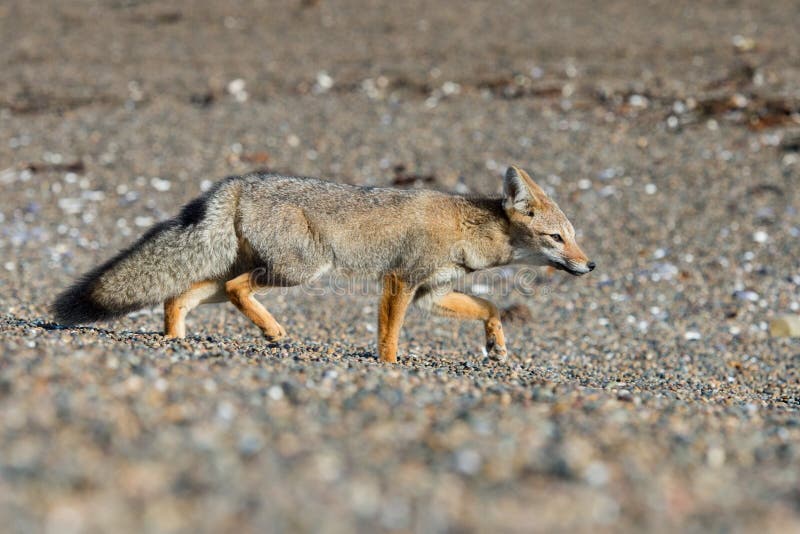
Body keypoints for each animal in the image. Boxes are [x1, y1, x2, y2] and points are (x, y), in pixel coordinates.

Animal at [52, 165, 594, 363]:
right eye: (556, 238)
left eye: (575, 238)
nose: (589, 267)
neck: (470, 229)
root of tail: (239, 181)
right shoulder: (400, 281)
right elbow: (389, 334)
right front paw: (389, 366)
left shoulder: (431, 294)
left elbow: (490, 308)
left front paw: (496, 345)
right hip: (300, 270)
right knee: (235, 289)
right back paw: (272, 332)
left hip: (242, 272)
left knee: (179, 295)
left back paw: (175, 340)